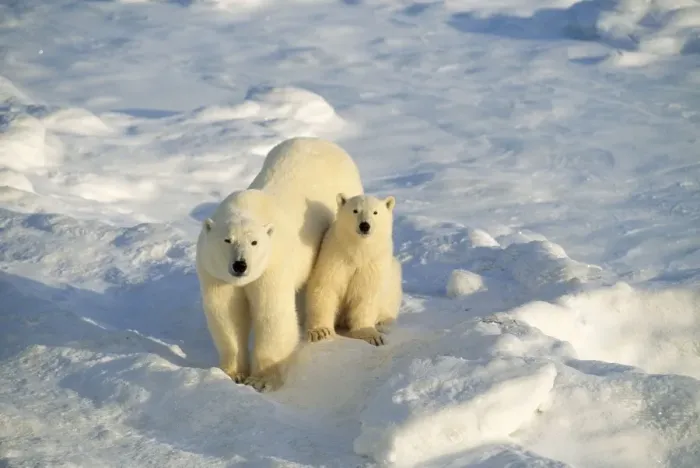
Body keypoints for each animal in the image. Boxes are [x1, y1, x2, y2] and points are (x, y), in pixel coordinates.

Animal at [195, 137, 364, 392]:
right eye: (227, 240)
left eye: (254, 242)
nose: (240, 265)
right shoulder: (215, 274)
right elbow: (227, 314)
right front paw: (232, 373)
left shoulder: (273, 266)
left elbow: (272, 314)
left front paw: (261, 379)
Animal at [304, 194, 402, 346]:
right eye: (355, 210)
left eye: (375, 212)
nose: (364, 225)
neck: (358, 251)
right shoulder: (336, 255)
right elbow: (326, 286)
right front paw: (321, 332)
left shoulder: (373, 262)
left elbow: (366, 294)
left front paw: (371, 334)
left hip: (393, 275)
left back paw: (383, 322)